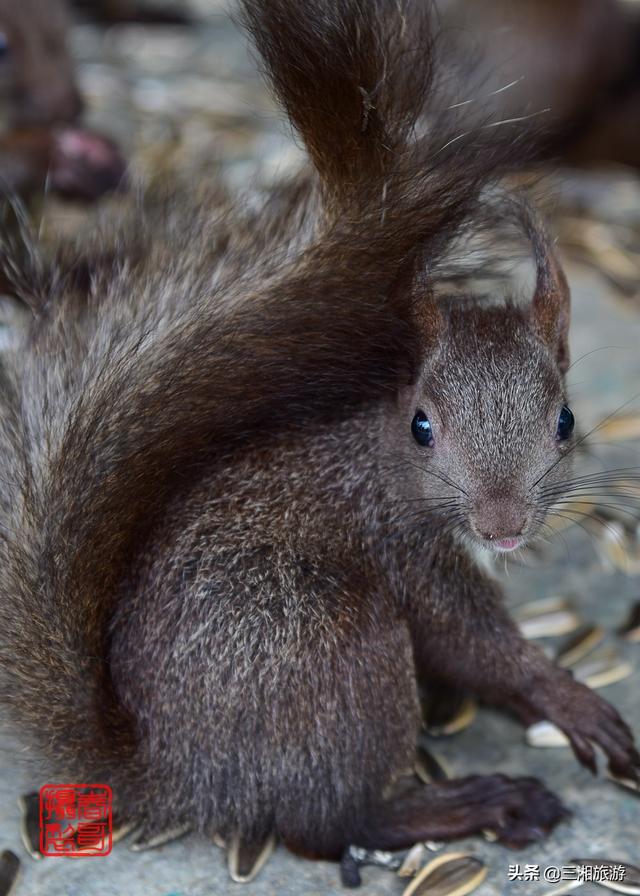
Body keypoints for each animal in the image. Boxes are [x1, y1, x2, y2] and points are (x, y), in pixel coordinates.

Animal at [0, 0, 636, 884]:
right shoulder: (406, 553)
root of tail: (183, 773)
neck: (385, 465)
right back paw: (476, 805)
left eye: (566, 420)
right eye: (422, 425)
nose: (504, 525)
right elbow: (473, 645)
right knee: (330, 820)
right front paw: (570, 700)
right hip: (333, 647)